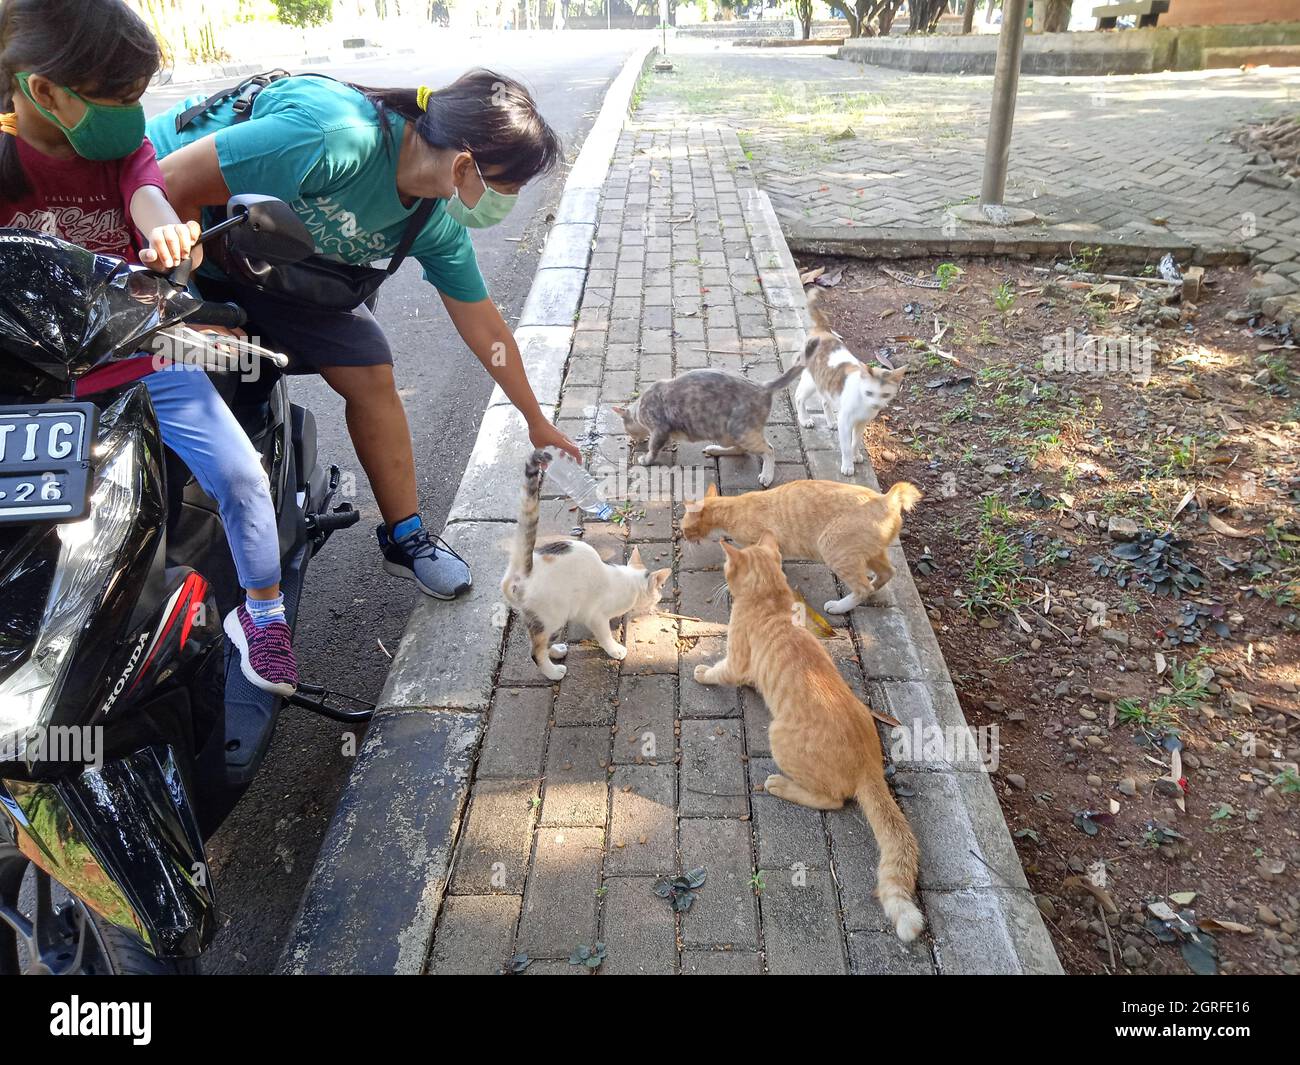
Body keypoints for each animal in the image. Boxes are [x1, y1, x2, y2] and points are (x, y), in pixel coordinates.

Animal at [499, 449, 670, 681]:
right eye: (660, 589)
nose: (659, 600)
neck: (630, 583)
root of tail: (524, 572)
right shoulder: (596, 616)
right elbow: (604, 635)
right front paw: (615, 650)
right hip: (553, 615)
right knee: (536, 651)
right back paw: (553, 671)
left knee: (539, 642)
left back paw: (556, 651)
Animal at [608, 361, 800, 488]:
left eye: (627, 430)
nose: (632, 440)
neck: (639, 409)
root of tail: (763, 386)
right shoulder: (664, 432)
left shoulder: (659, 430)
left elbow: (653, 448)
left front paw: (646, 458)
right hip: (726, 434)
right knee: (741, 450)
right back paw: (714, 449)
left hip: (740, 431)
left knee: (768, 449)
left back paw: (767, 475)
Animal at [686, 483, 920, 616]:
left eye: (683, 527)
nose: (683, 536)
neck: (732, 509)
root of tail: (885, 499)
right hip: (870, 554)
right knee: (887, 573)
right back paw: (874, 586)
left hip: (833, 548)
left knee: (863, 588)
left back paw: (839, 606)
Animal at [696, 538, 930, 946]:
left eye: (727, 569)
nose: (723, 583)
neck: (772, 603)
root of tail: (870, 763)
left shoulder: (736, 660)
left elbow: (718, 671)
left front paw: (700, 671)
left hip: (778, 737)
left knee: (832, 800)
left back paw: (779, 784)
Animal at [790, 289, 904, 475]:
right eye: (869, 392)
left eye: (885, 394)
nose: (875, 404)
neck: (864, 404)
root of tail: (823, 330)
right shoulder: (846, 421)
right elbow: (845, 446)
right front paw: (848, 465)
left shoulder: (862, 422)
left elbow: (855, 441)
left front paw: (856, 455)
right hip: (811, 381)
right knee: (799, 397)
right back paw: (805, 419)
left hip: (825, 384)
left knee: (825, 401)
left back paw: (830, 422)